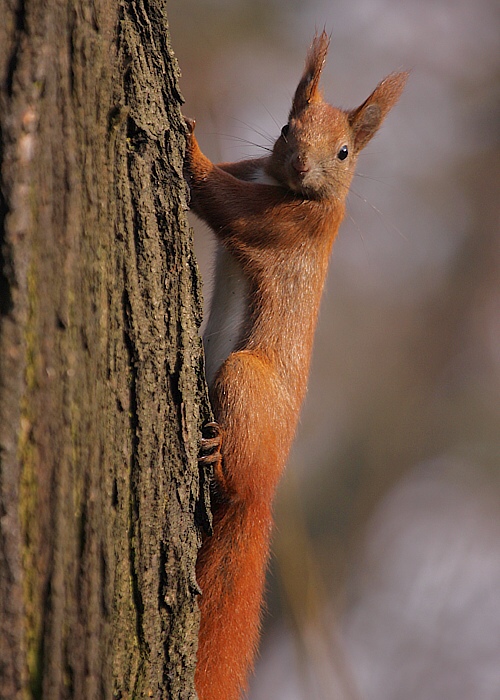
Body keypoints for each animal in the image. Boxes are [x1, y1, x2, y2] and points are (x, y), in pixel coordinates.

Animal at [184, 31, 406, 700]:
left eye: (344, 151)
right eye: (286, 127)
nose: (303, 166)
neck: (295, 191)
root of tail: (266, 494)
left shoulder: (281, 224)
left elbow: (218, 199)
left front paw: (186, 142)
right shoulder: (255, 177)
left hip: (242, 378)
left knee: (232, 475)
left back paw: (216, 457)